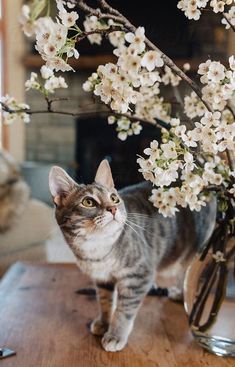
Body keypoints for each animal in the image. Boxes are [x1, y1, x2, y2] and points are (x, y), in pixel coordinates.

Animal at [48, 161, 216, 354]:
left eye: (114, 198)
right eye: (88, 202)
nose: (113, 208)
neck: (97, 251)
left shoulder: (139, 276)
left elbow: (123, 310)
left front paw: (115, 335)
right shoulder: (102, 279)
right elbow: (105, 302)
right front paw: (104, 322)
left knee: (190, 275)